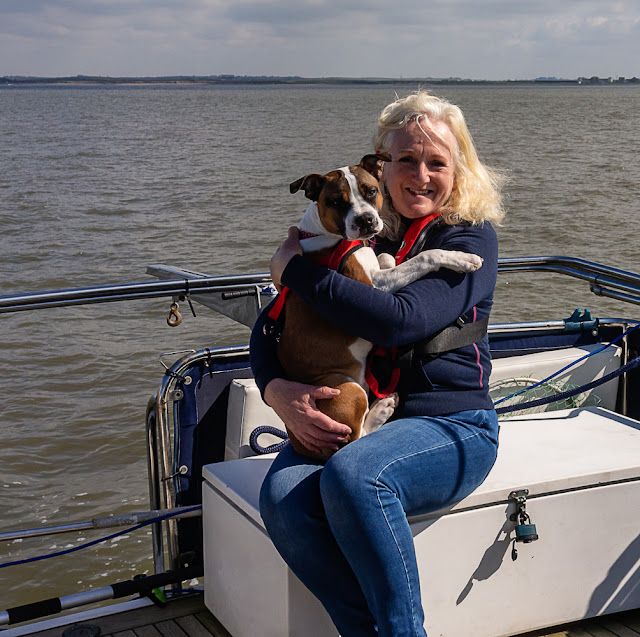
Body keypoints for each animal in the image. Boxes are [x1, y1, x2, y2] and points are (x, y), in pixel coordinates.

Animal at [276, 156, 480, 460]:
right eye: (336, 201)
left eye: (371, 191)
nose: (366, 220)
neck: (328, 235)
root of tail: (304, 445)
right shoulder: (375, 287)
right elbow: (425, 257)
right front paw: (462, 258)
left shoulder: (378, 273)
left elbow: (386, 256)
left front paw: (390, 258)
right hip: (345, 389)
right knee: (353, 438)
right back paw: (381, 410)